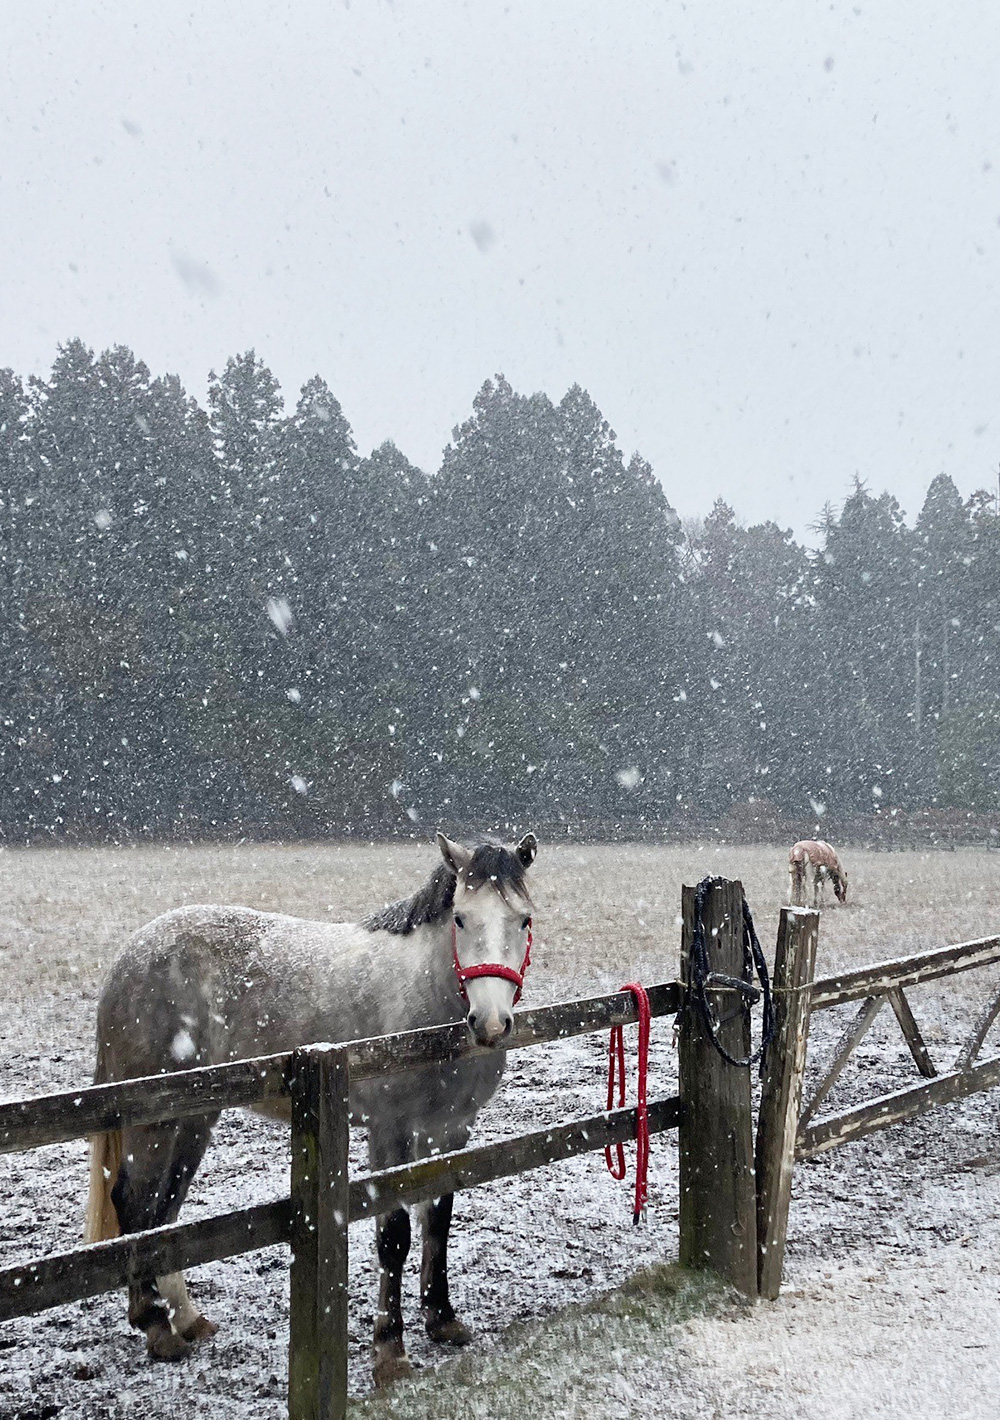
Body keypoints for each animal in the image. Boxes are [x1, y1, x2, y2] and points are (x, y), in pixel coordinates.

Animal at [85, 829, 539, 1385]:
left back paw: (186, 1319)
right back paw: (156, 1327)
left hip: (194, 1119)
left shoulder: (450, 1130)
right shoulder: (389, 1131)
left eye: (524, 919)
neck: (423, 999)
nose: (490, 1024)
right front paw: (390, 1351)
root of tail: (126, 959)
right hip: (154, 1121)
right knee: (134, 1204)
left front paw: (442, 1320)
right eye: (460, 918)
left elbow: (438, 1218)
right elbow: (394, 1235)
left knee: (166, 1210)